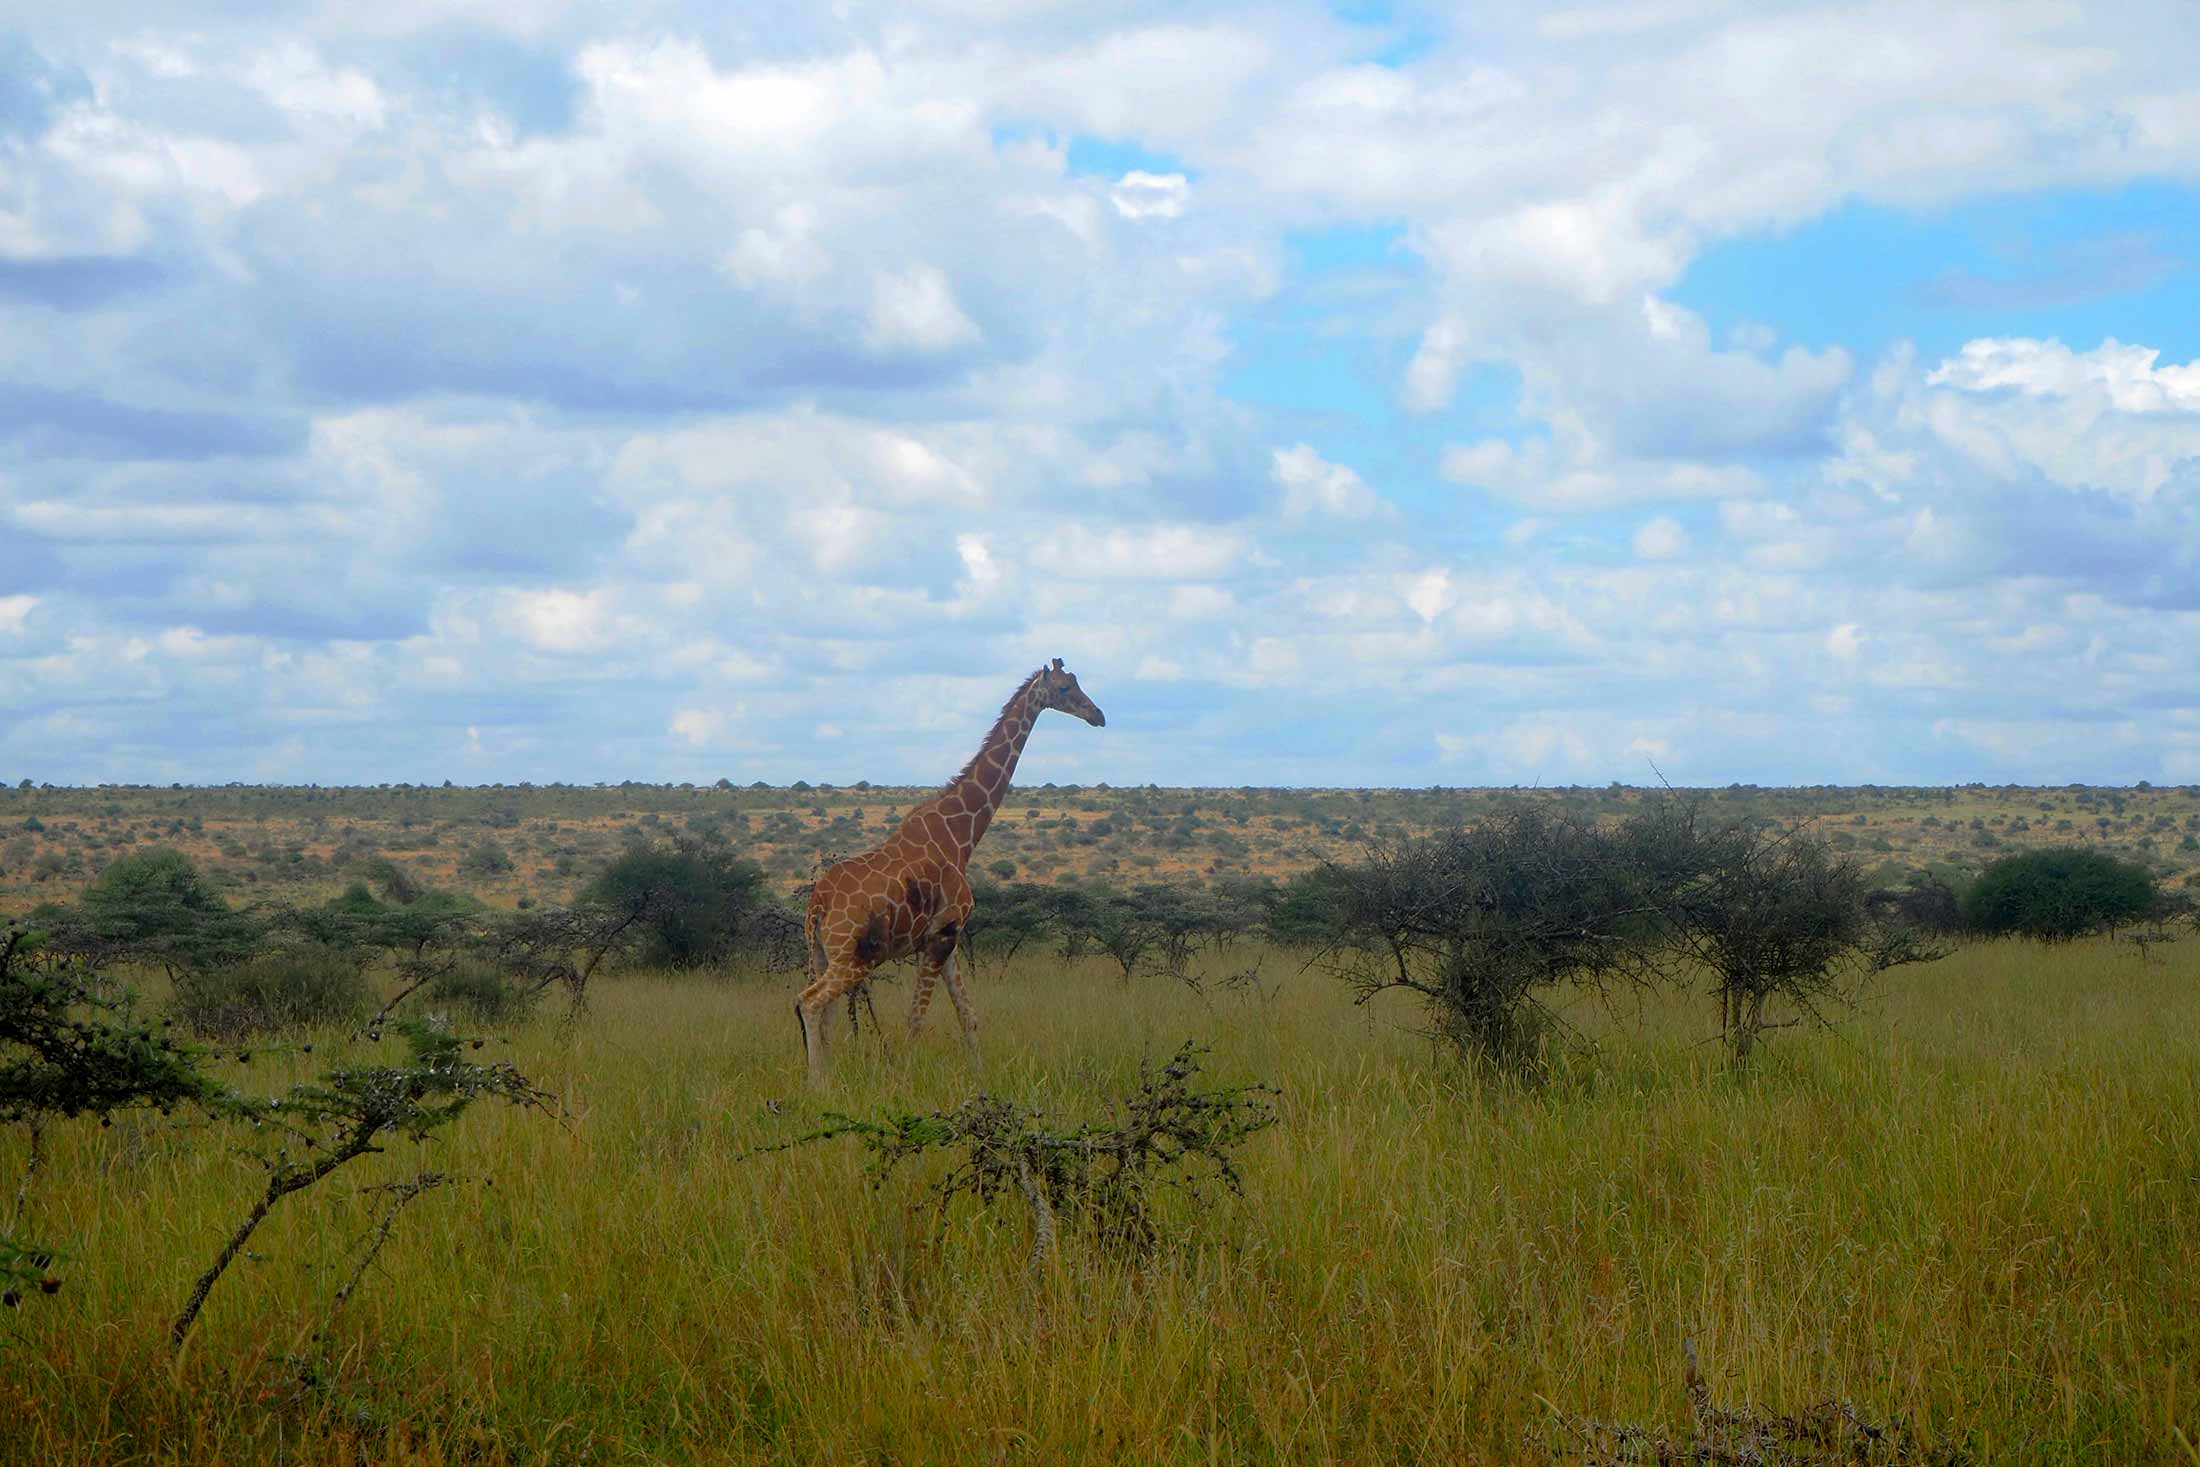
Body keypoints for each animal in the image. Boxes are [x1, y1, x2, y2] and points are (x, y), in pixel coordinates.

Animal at [796, 659, 1108, 1086]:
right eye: (1063, 688)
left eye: (1077, 683)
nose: (1098, 716)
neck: (961, 836)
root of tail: (818, 904)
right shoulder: (940, 936)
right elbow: (916, 1019)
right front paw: (903, 1080)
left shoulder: (951, 939)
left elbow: (968, 1015)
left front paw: (981, 1078)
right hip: (853, 958)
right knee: (809, 1003)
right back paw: (817, 1086)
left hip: (822, 954)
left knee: (822, 1012)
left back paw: (827, 1080)